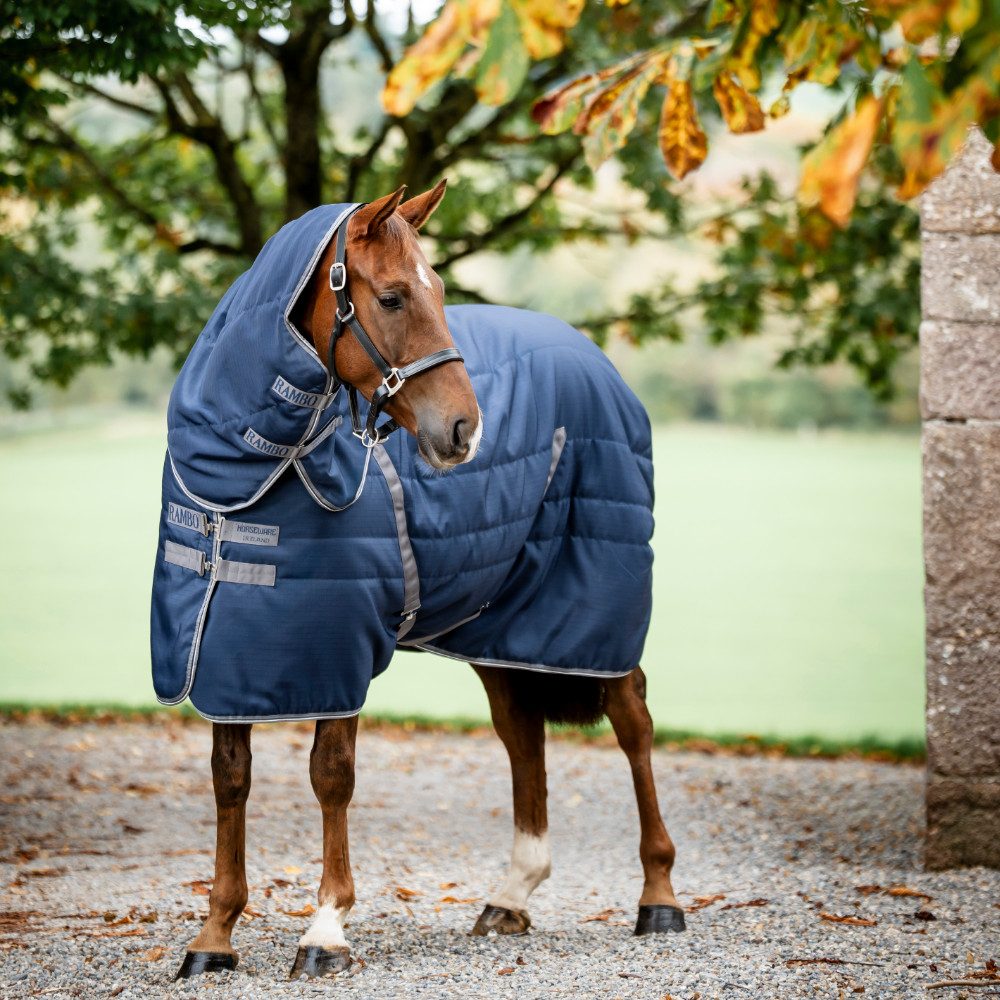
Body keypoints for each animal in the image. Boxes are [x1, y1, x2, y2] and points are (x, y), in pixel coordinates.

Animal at [153, 184, 684, 981]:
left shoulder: (334, 650)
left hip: (600, 613)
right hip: (504, 631)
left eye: (436, 290)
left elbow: (331, 774)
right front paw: (214, 936)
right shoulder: (232, 653)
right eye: (394, 296)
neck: (245, 481)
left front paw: (325, 929)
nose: (465, 428)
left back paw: (659, 896)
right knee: (522, 735)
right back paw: (511, 895)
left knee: (634, 725)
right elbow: (230, 777)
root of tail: (597, 363)